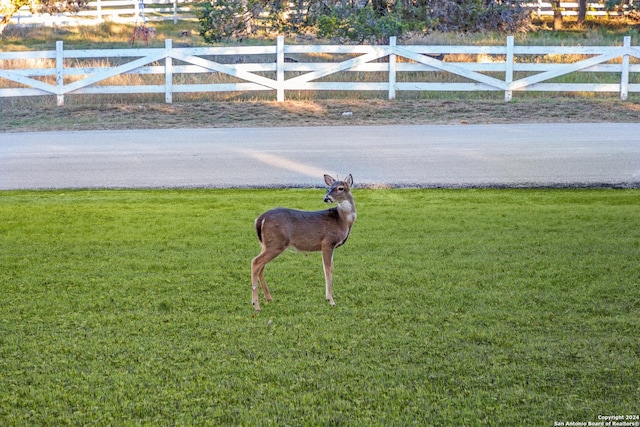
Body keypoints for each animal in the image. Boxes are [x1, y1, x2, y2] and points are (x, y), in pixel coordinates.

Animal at [252, 174, 358, 310]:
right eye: (328, 188)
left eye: (340, 188)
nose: (326, 198)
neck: (342, 220)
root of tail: (260, 219)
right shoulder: (327, 241)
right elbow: (327, 269)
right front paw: (331, 300)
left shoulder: (331, 245)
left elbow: (331, 268)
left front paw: (330, 296)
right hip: (276, 243)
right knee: (256, 262)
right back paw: (256, 305)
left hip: (266, 244)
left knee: (261, 266)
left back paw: (269, 298)